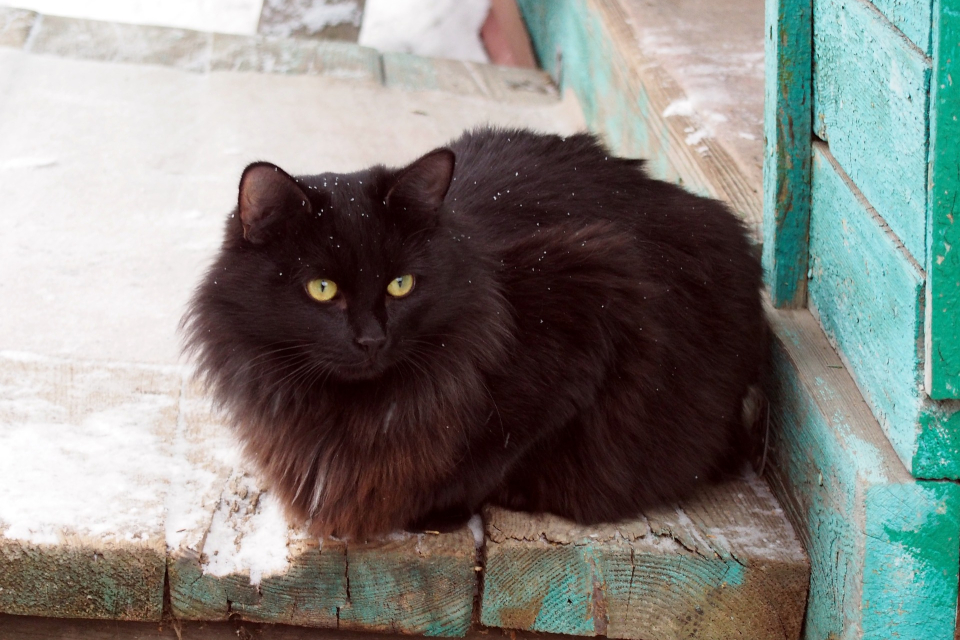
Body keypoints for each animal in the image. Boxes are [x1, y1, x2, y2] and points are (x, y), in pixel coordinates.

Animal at [184, 129, 768, 540]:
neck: (351, 410)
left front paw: (437, 512)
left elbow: (495, 451)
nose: (371, 340)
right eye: (322, 289)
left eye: (401, 284)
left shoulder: (595, 286)